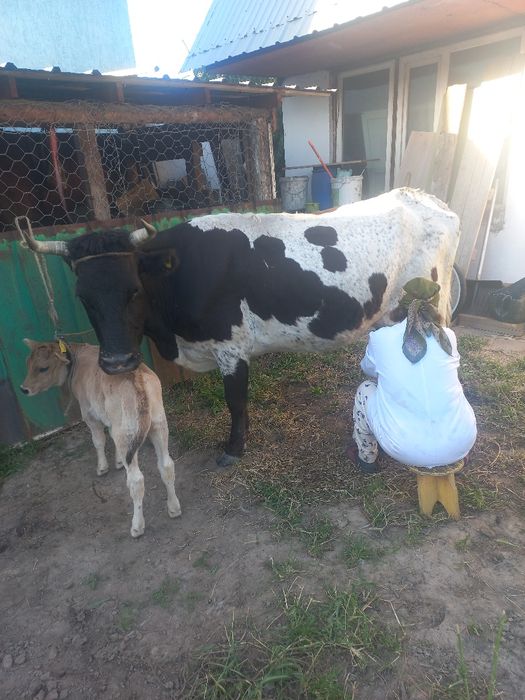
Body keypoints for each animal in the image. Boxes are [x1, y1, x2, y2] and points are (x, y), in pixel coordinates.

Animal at [20, 340, 181, 537]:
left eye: (43, 368)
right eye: (28, 363)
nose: (23, 389)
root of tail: (136, 378)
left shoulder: (89, 414)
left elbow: (98, 440)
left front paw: (102, 467)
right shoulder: (111, 420)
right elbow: (110, 435)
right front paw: (118, 462)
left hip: (127, 433)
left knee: (136, 480)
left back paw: (137, 526)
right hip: (158, 424)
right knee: (166, 465)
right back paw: (174, 508)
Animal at [22, 188, 460, 467]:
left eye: (133, 289)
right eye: (83, 296)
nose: (115, 363)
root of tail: (424, 197)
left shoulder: (229, 348)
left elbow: (235, 401)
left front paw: (234, 448)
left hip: (430, 302)